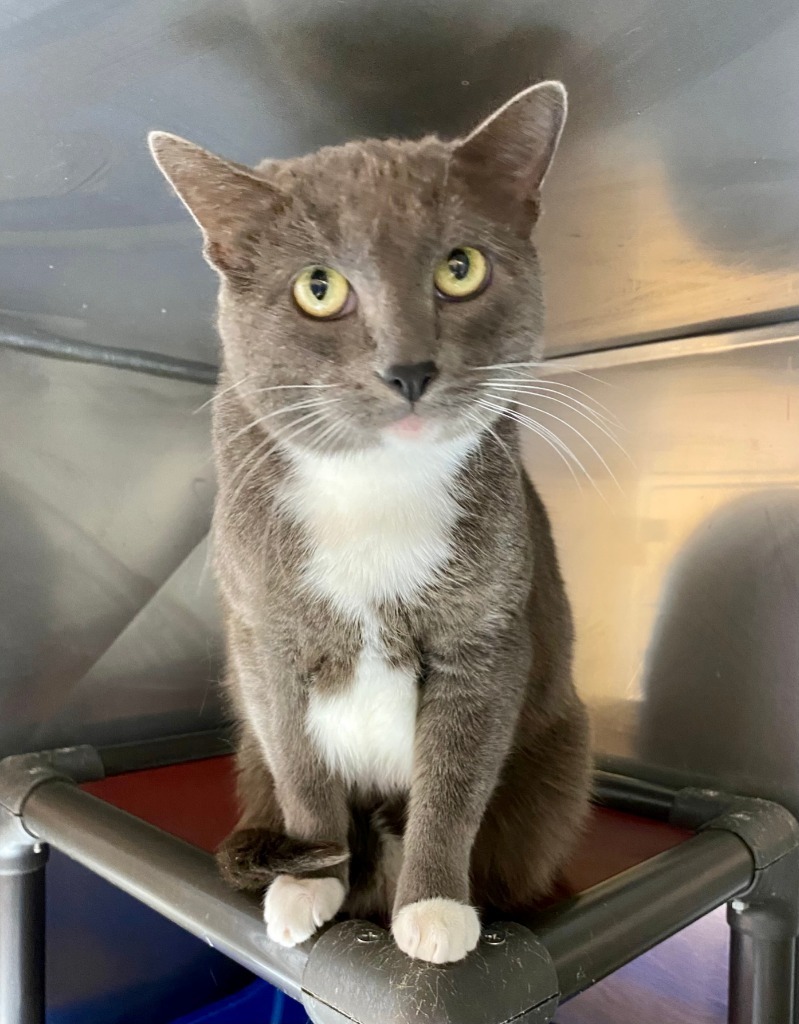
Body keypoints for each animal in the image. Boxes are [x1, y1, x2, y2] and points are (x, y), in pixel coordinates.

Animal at [148, 81, 585, 966]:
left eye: (460, 267)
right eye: (317, 288)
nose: (409, 369)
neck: (376, 489)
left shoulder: (487, 638)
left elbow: (453, 779)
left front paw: (433, 908)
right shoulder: (264, 637)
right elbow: (300, 767)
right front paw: (310, 882)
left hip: (556, 768)